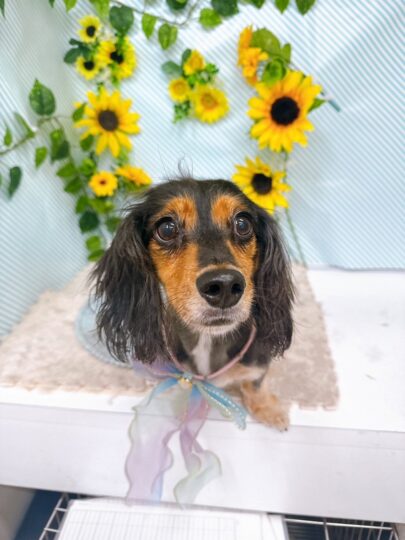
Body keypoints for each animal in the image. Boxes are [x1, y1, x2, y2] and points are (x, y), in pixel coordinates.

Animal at [92, 178, 294, 429]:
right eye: (167, 229)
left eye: (243, 223)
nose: (224, 286)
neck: (207, 340)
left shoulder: (257, 361)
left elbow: (255, 383)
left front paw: (267, 408)